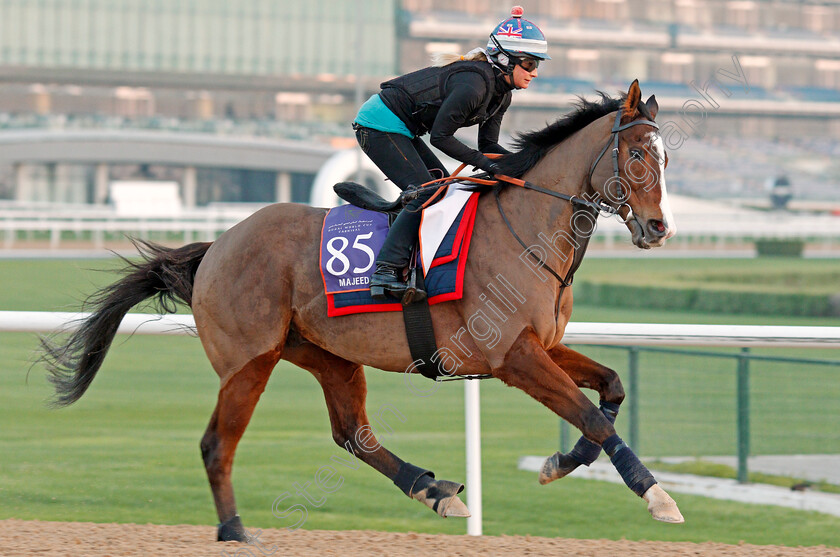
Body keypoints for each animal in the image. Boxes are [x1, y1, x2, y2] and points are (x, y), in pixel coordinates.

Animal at [39, 79, 684, 540]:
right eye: (634, 153)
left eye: (665, 158)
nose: (659, 229)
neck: (527, 230)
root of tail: (217, 246)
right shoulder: (512, 355)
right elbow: (592, 415)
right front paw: (657, 496)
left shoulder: (542, 346)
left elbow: (611, 389)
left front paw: (559, 463)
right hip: (249, 362)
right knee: (217, 444)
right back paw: (234, 530)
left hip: (327, 354)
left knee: (352, 434)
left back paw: (434, 490)